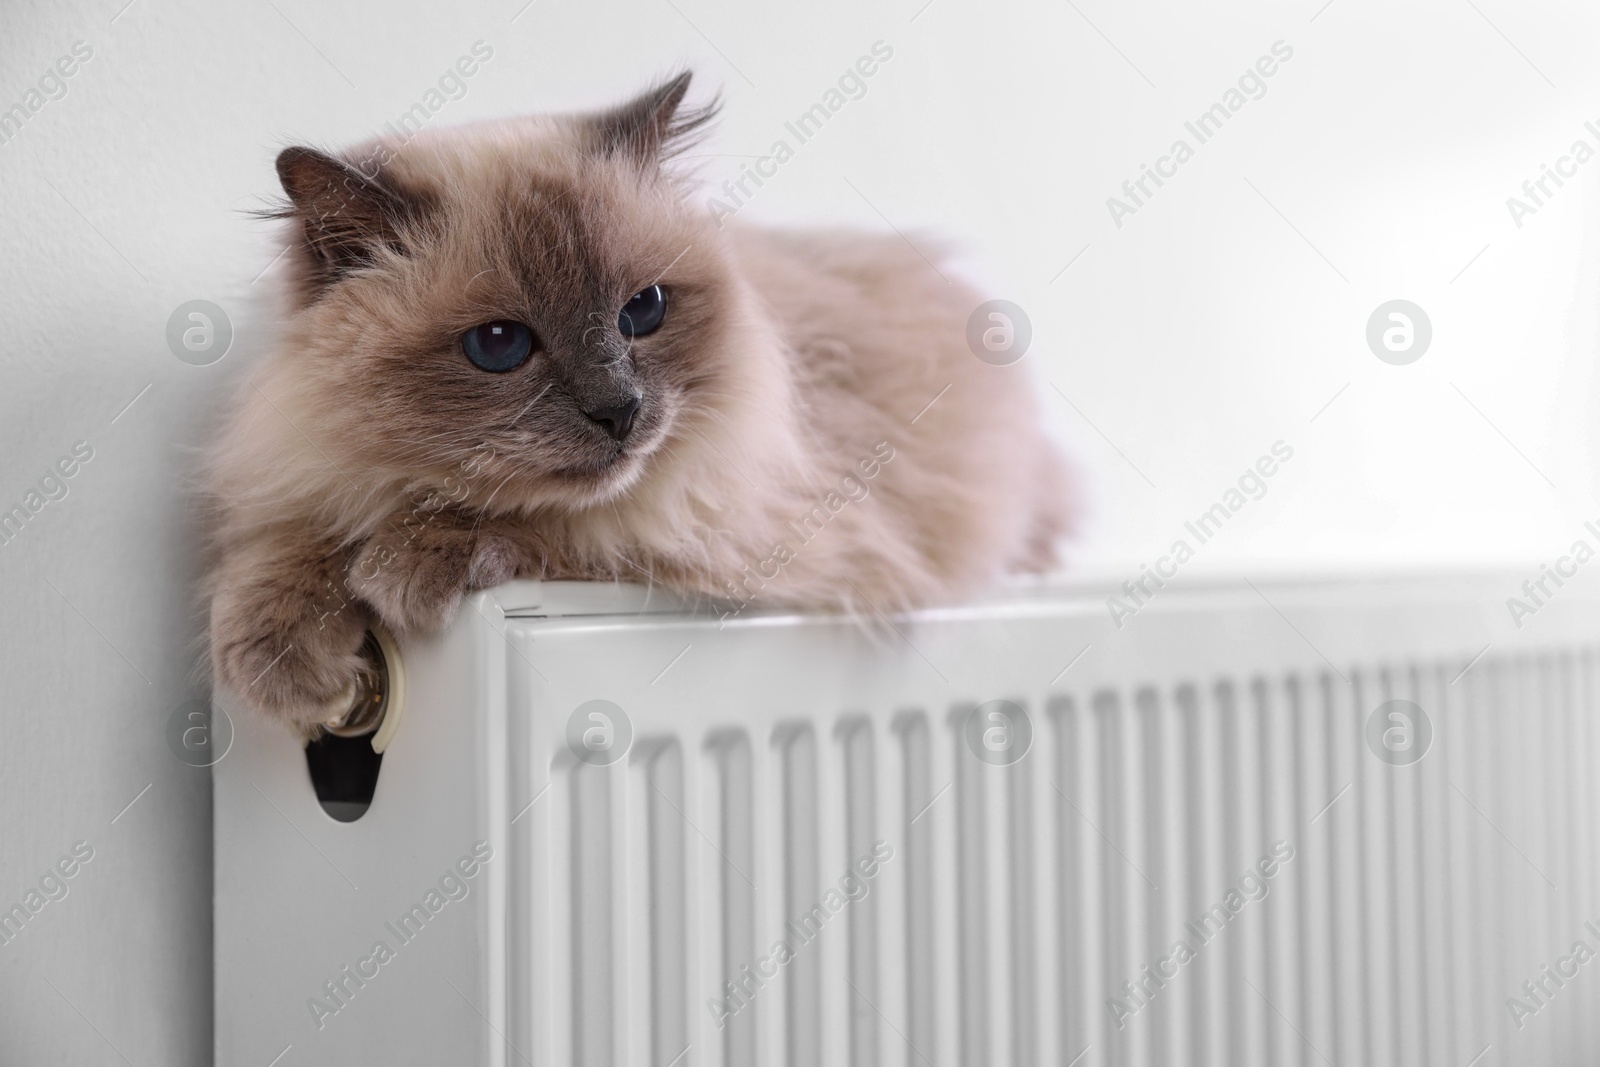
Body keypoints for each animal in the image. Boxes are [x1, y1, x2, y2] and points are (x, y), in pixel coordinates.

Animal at [206, 73, 1068, 726]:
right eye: (499, 345)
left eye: (642, 311)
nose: (619, 408)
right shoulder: (307, 477)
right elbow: (290, 543)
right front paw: (280, 652)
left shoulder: (739, 521)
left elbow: (568, 522)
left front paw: (408, 561)